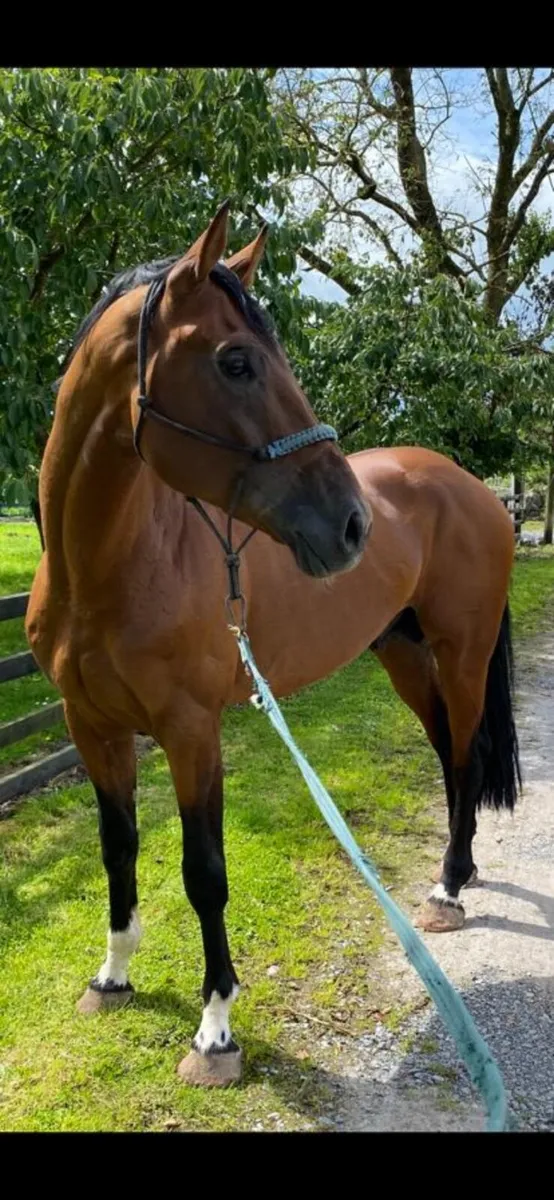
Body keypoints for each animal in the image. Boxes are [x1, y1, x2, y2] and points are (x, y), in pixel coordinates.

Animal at [26, 202, 520, 1088]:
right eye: (236, 362)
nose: (352, 524)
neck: (112, 565)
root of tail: (474, 488)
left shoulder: (192, 733)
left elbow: (204, 874)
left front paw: (215, 1031)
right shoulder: (92, 727)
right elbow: (118, 850)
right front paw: (112, 977)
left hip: (461, 653)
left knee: (465, 759)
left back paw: (449, 892)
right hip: (404, 656)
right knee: (445, 753)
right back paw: (457, 870)